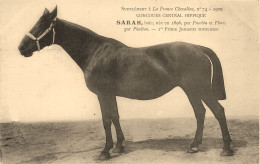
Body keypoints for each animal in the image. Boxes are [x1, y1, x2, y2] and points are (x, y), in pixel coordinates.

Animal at [18, 6, 234, 159]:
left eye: (41, 25)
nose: (21, 48)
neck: (95, 52)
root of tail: (198, 47)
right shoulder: (110, 94)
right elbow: (115, 116)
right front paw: (119, 147)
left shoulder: (103, 94)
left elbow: (106, 119)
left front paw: (105, 151)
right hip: (191, 90)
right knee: (201, 112)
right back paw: (194, 146)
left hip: (200, 89)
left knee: (218, 111)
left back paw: (226, 149)